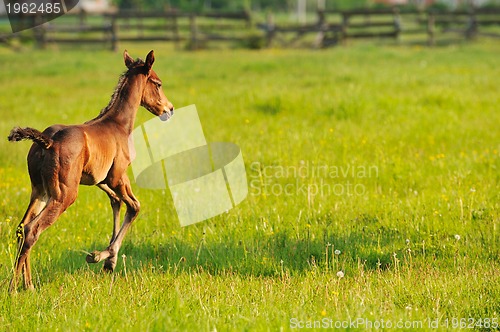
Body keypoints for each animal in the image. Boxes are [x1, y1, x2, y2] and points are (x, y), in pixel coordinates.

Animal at [4, 50, 174, 292]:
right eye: (158, 84)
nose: (170, 109)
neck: (118, 124)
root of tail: (47, 142)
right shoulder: (117, 177)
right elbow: (134, 206)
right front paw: (103, 257)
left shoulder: (100, 180)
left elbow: (116, 202)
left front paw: (108, 261)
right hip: (64, 195)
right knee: (31, 230)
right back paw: (14, 288)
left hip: (40, 191)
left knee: (21, 227)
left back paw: (28, 285)